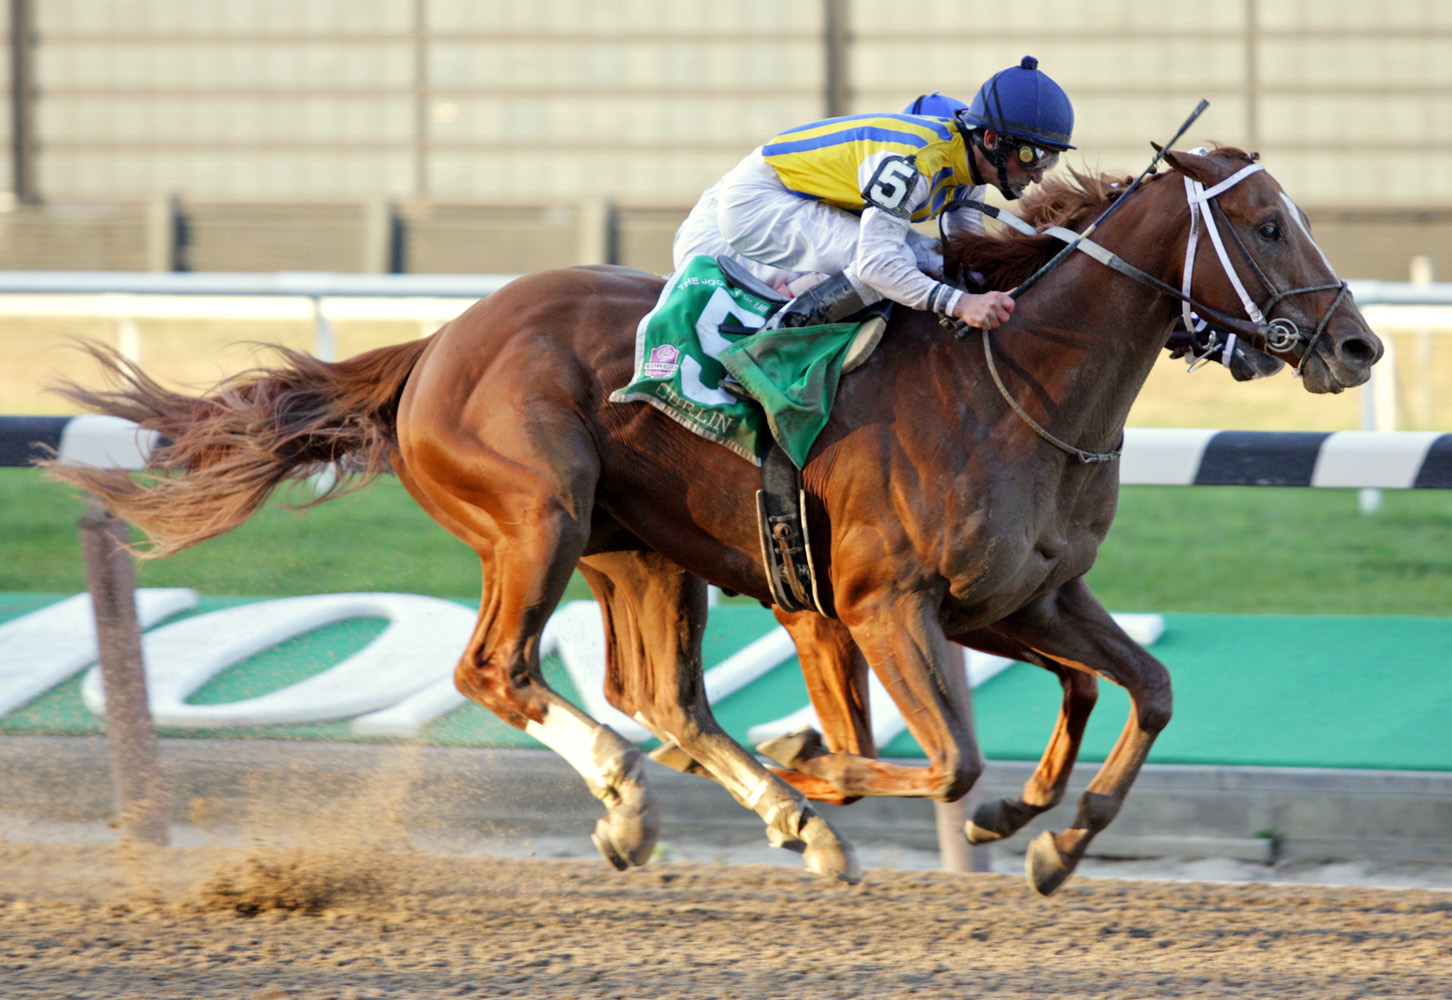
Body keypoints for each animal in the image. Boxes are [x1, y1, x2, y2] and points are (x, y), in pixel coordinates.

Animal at [45, 144, 1382, 894]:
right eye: (1266, 223)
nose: (1357, 346)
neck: (1023, 384)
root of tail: (435, 345)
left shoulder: (1025, 594)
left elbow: (1141, 688)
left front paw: (1045, 836)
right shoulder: (882, 602)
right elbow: (945, 751)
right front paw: (822, 758)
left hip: (641, 554)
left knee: (662, 693)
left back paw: (767, 819)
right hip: (538, 514)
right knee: (499, 668)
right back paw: (646, 795)